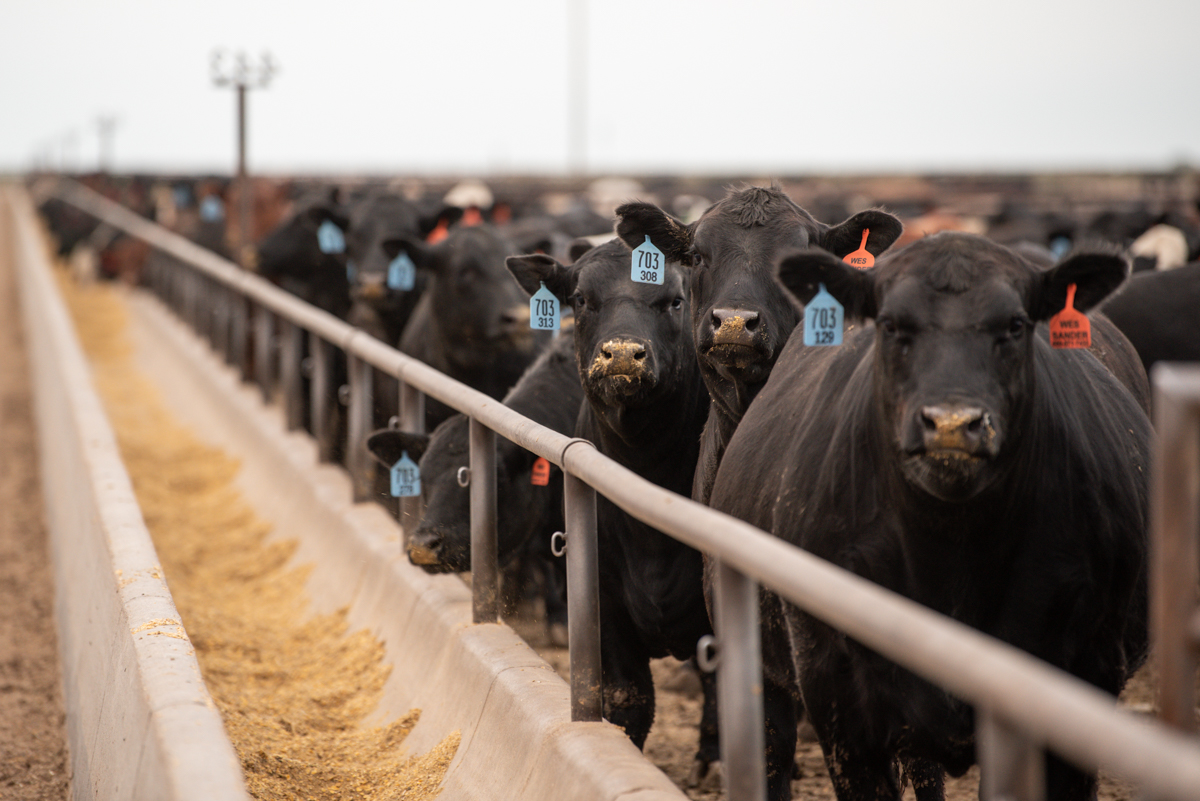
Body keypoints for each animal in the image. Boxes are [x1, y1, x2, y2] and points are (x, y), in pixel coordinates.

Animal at [508, 241, 720, 786]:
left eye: (674, 300)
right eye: (581, 299)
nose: (622, 354)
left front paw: (713, 759)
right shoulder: (603, 602)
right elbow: (630, 698)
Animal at [710, 230, 1152, 801]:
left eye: (1015, 324)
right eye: (891, 324)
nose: (951, 424)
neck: (951, 552)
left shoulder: (1086, 675)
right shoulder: (841, 706)